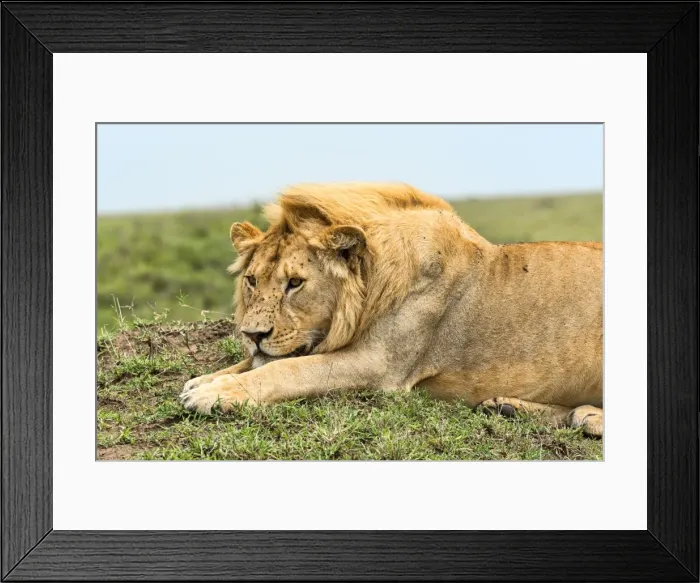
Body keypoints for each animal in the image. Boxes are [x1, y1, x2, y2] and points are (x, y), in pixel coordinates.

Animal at [180, 182, 603, 438]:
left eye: (295, 283)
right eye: (252, 280)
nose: (252, 335)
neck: (372, 279)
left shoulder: (380, 364)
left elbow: (289, 369)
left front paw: (213, 394)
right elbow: (252, 364)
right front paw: (204, 381)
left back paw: (588, 417)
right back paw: (508, 407)